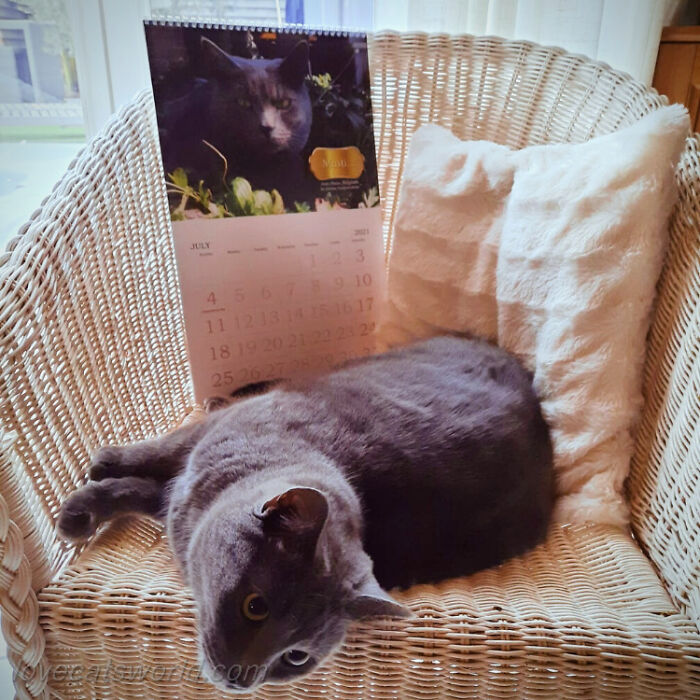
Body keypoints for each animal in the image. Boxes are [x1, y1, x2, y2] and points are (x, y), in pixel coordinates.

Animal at [57, 336, 552, 692]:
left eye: (296, 657)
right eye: (255, 607)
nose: (242, 680)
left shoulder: (187, 489)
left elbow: (147, 486)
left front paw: (86, 501)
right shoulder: (203, 449)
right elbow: (160, 455)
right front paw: (103, 471)